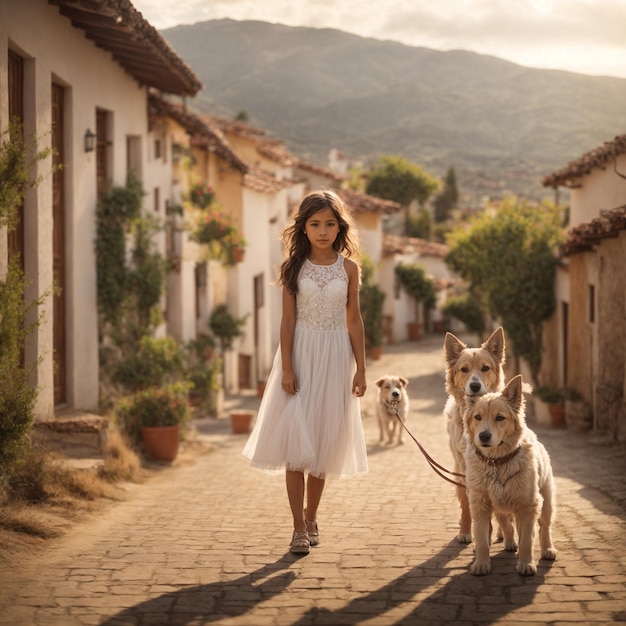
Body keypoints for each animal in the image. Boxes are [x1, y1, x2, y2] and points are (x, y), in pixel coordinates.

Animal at [442, 326, 504, 540]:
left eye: (485, 368)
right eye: (464, 370)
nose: (475, 385)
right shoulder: (464, 465)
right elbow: (468, 504)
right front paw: (468, 531)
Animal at [464, 372, 556, 572]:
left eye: (500, 418)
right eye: (477, 417)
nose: (483, 436)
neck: (496, 463)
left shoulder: (529, 505)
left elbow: (527, 540)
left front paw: (526, 564)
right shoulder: (479, 503)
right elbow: (482, 539)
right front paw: (481, 564)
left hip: (546, 502)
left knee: (544, 527)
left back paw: (548, 549)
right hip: (500, 505)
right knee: (505, 522)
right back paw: (509, 542)